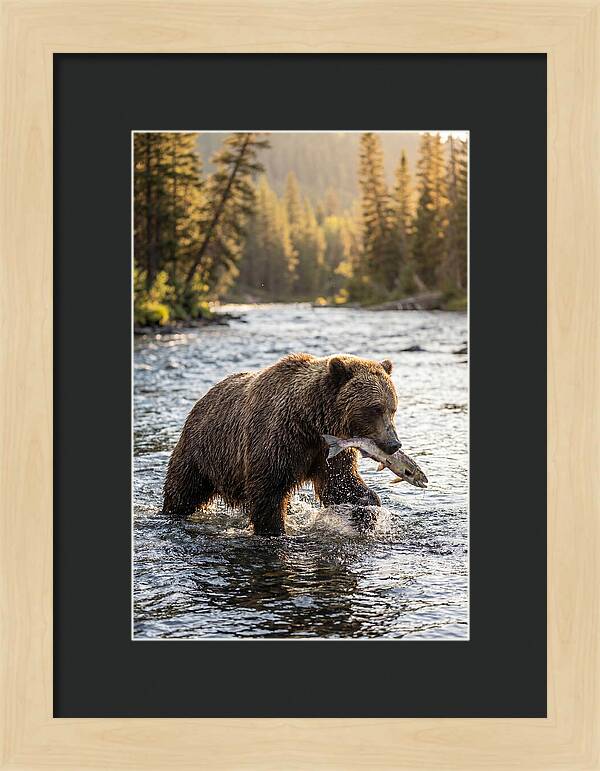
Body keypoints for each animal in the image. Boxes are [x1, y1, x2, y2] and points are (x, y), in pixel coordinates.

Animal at [163, 353, 402, 535]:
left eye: (392, 408)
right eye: (374, 408)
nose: (394, 444)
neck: (310, 422)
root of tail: (202, 398)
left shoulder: (328, 450)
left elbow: (340, 483)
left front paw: (367, 509)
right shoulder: (278, 439)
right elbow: (268, 491)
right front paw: (274, 529)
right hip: (202, 452)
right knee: (183, 490)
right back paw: (172, 512)